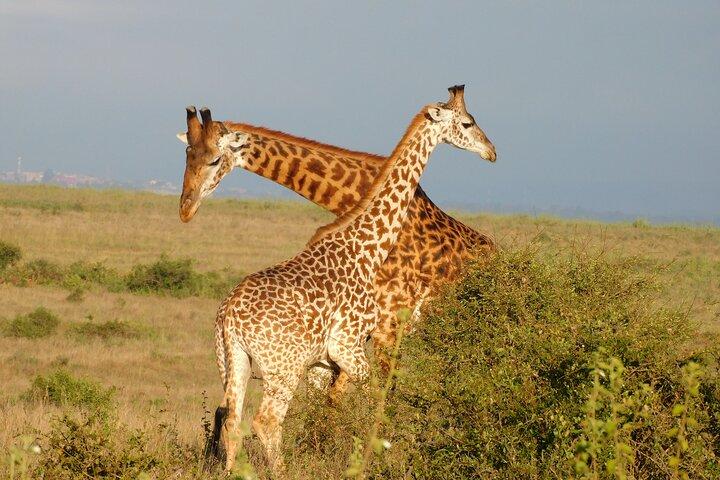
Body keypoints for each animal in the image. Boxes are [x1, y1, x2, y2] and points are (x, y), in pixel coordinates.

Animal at [212, 86, 496, 472]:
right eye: (467, 122)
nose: (491, 151)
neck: (367, 247)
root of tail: (229, 318)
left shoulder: (325, 358)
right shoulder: (348, 345)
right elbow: (376, 401)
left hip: (232, 360)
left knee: (232, 420)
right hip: (282, 367)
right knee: (266, 421)